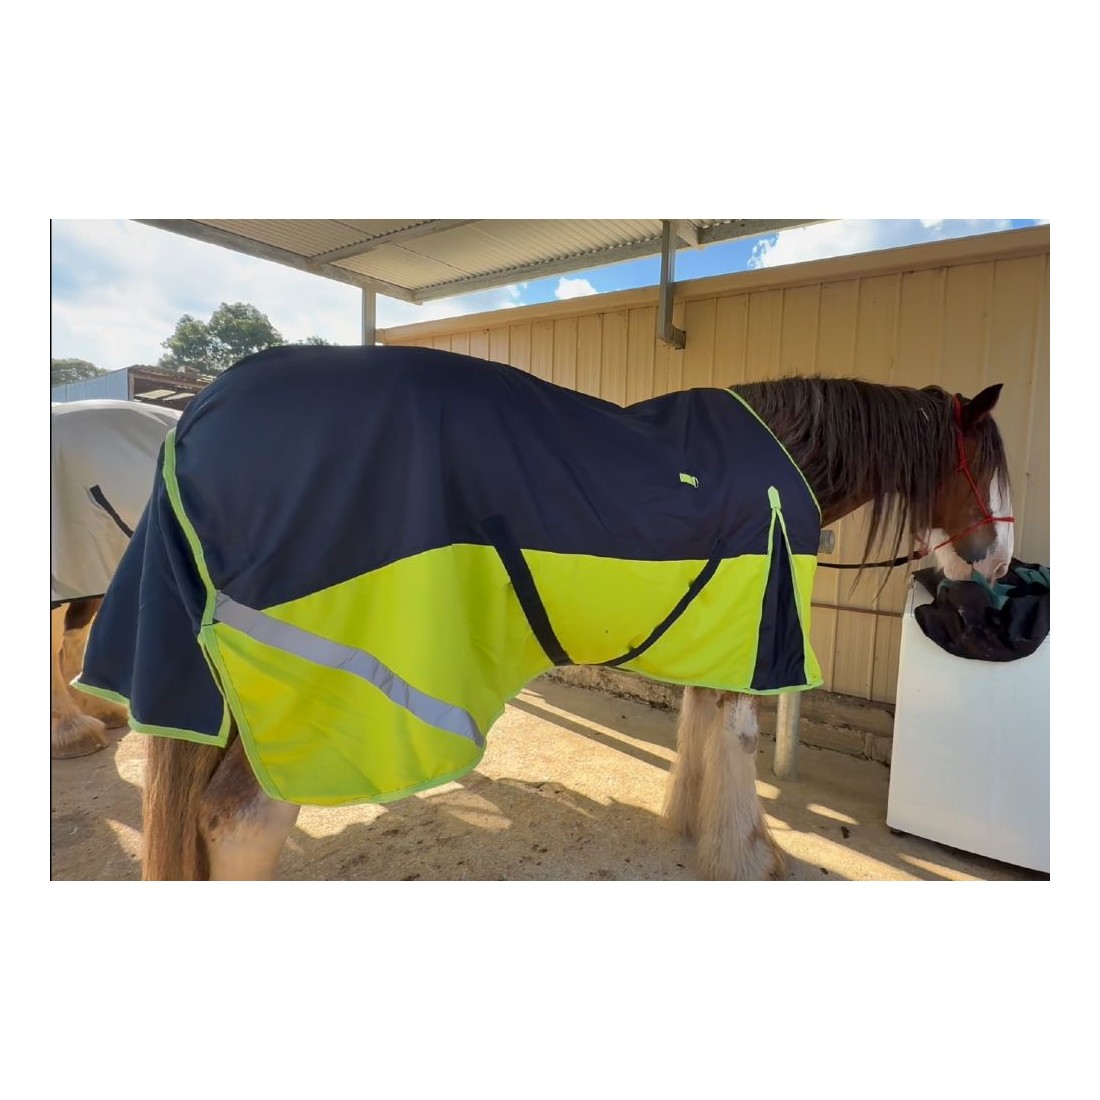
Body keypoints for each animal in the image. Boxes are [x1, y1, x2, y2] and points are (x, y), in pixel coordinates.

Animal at [73, 345, 1013, 880]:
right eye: (984, 466)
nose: (999, 567)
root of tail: (198, 414)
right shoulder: (754, 630)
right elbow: (740, 744)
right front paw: (749, 853)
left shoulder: (718, 633)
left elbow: (701, 731)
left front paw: (689, 824)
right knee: (242, 822)